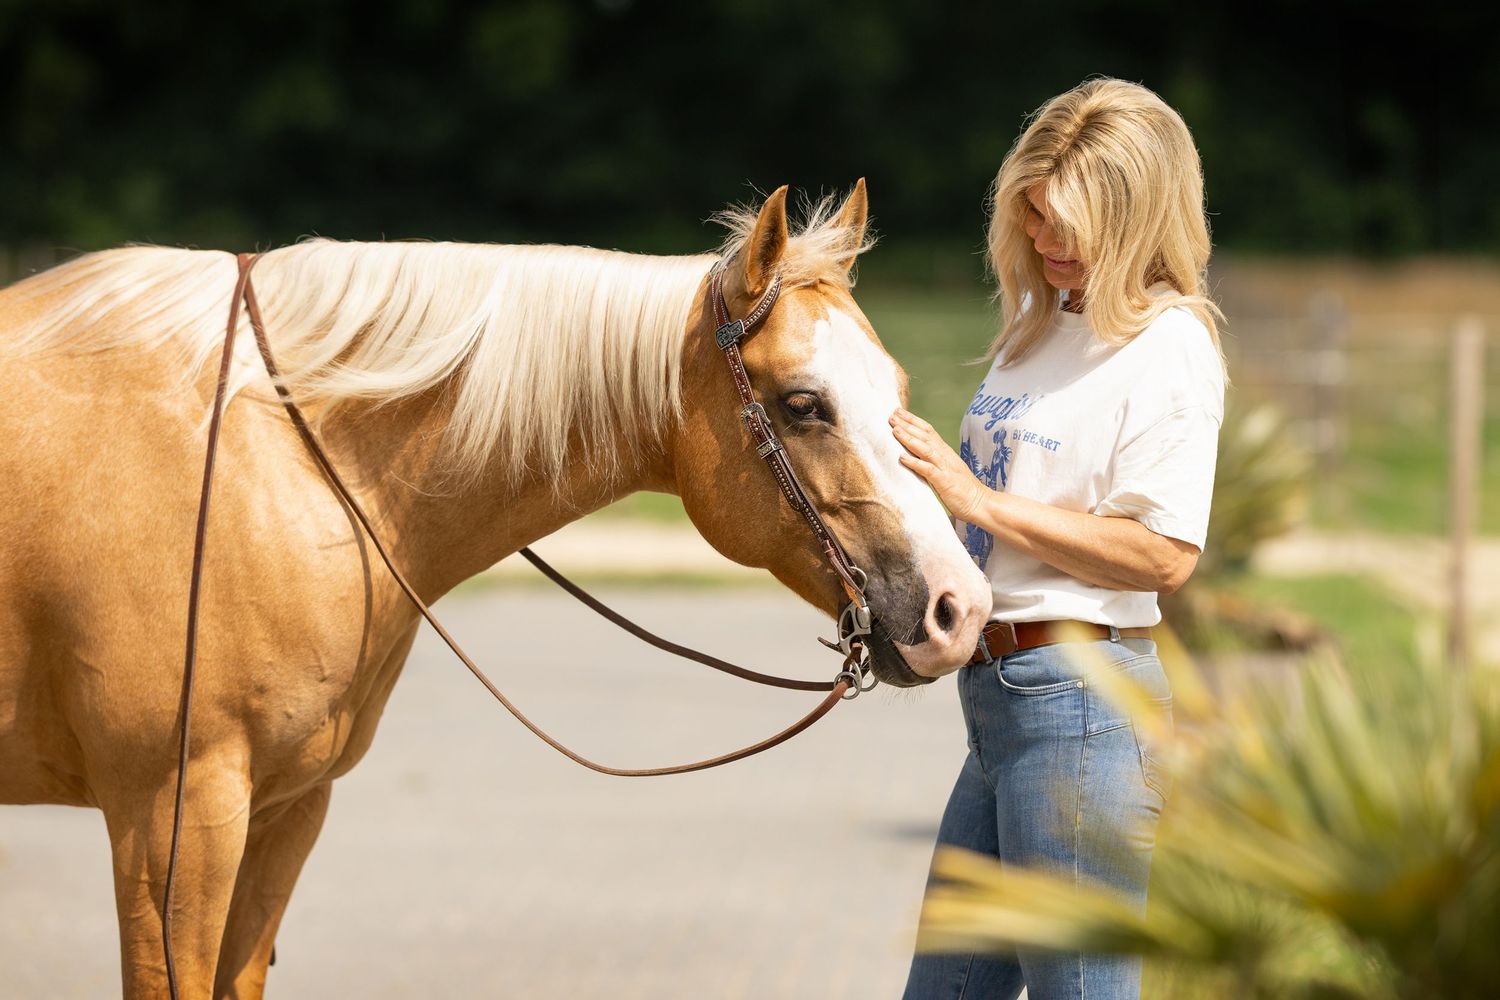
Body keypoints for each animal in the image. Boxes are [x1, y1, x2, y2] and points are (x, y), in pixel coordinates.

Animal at [0, 181, 992, 999]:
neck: (278, 462)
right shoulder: (171, 819)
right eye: (802, 405)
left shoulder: (285, 811)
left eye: (896, 387)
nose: (961, 608)